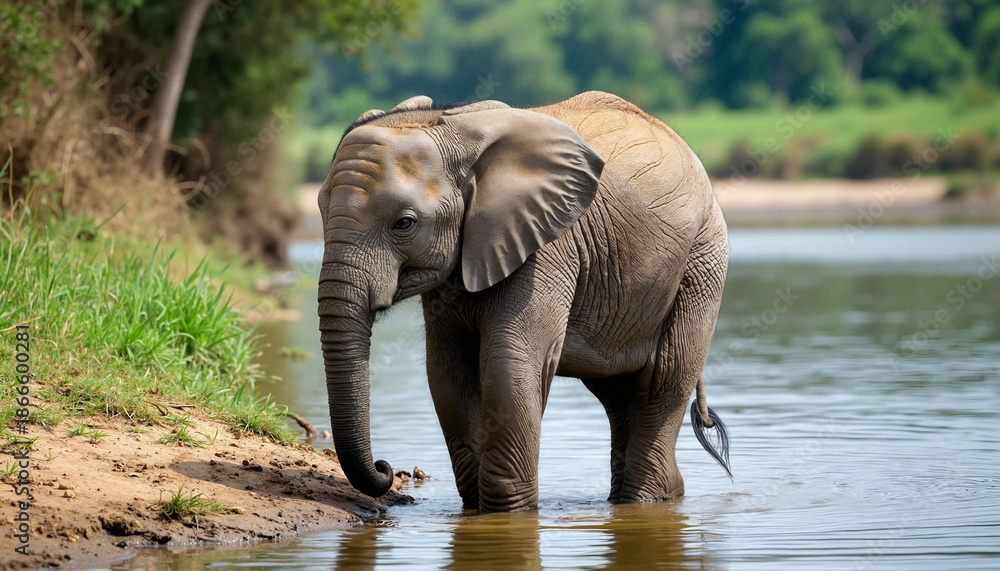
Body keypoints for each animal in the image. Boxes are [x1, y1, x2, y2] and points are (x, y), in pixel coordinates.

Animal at [317, 91, 732, 512]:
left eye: (404, 223)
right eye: (320, 210)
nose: (386, 468)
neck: (450, 124)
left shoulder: (545, 247)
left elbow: (508, 364)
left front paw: (506, 513)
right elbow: (448, 373)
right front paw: (476, 507)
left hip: (703, 259)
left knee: (663, 378)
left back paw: (643, 502)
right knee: (618, 393)